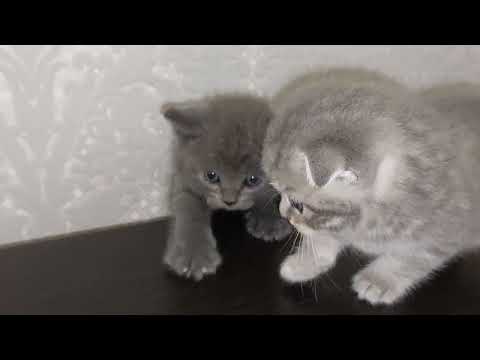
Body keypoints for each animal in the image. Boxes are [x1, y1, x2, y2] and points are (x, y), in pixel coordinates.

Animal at [161, 94, 290, 282]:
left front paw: (269, 221)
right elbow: (189, 208)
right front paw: (193, 255)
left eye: (252, 180)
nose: (229, 202)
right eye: (211, 176)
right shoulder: (182, 178)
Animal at [262, 67, 480, 304]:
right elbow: (323, 235)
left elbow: (412, 257)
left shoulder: (451, 226)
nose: (283, 214)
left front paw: (379, 280)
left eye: (297, 204)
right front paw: (306, 260)